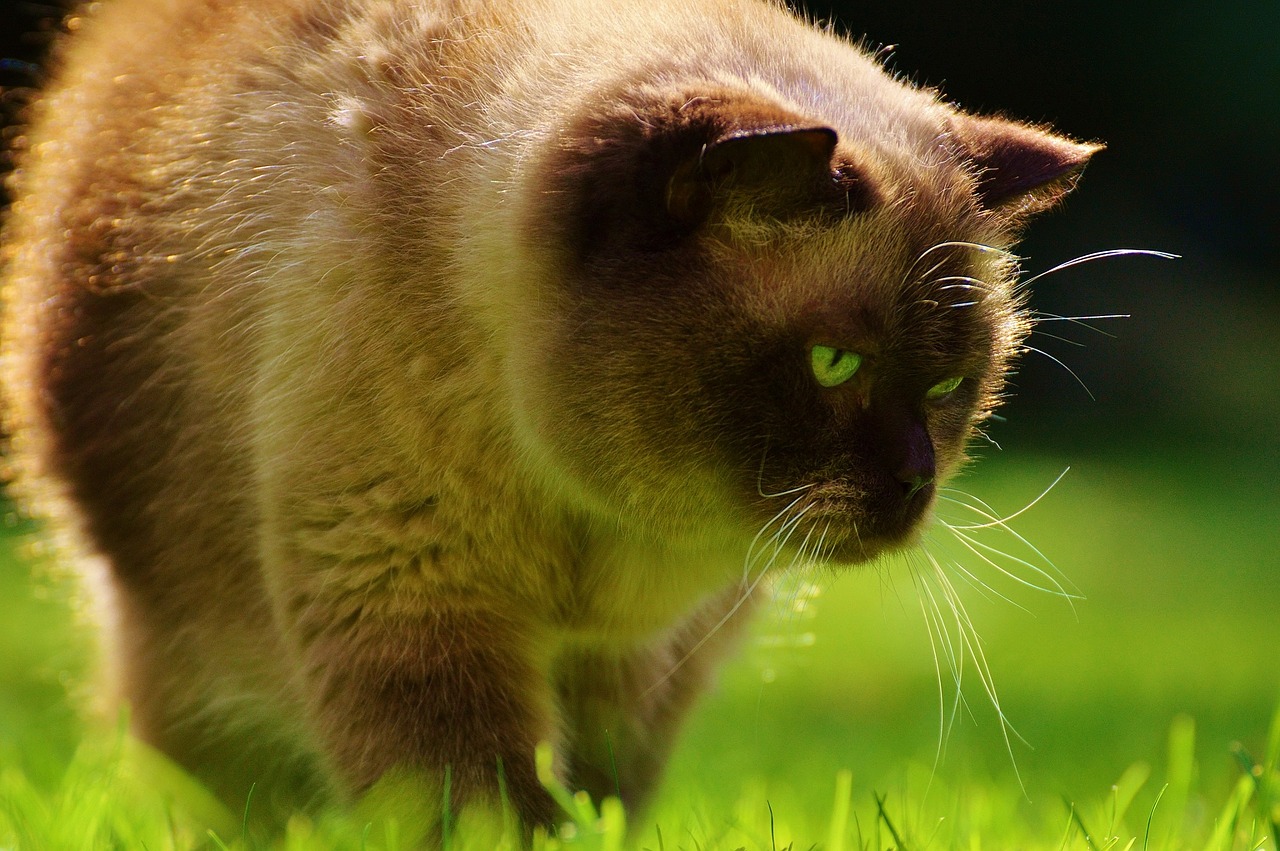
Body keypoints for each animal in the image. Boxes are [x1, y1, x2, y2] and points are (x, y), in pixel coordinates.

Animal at [2, 0, 1100, 829]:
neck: (595, 533)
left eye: (949, 387)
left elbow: (598, 798)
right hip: (188, 652)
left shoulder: (650, 660)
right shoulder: (412, 610)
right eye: (836, 363)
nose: (914, 483)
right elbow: (482, 807)